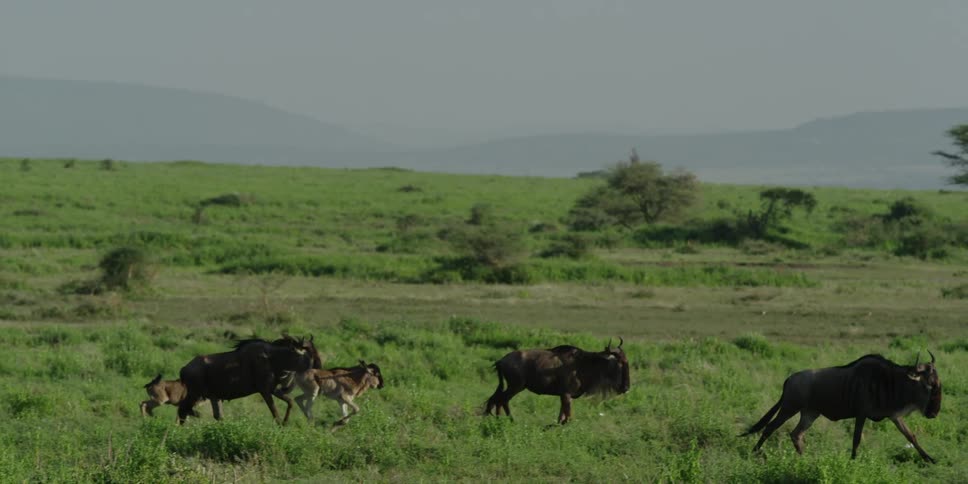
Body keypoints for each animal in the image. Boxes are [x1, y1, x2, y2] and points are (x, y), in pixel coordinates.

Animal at [176, 335, 314, 424]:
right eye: (301, 355)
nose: (312, 366)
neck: (273, 357)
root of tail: (183, 369)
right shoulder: (265, 391)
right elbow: (275, 413)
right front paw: (281, 426)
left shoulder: (272, 389)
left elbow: (290, 402)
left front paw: (285, 423)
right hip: (195, 395)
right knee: (183, 410)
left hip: (212, 397)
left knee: (215, 416)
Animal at [484, 338, 630, 424]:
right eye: (619, 363)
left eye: (627, 362)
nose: (626, 388)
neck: (583, 364)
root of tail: (501, 361)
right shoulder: (566, 394)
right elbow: (568, 417)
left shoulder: (564, 396)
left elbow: (562, 416)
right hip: (516, 386)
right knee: (502, 400)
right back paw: (509, 420)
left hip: (512, 386)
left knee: (498, 399)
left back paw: (500, 419)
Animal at [743, 351, 942, 463]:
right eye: (928, 385)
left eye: (939, 384)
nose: (934, 413)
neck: (890, 381)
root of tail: (789, 379)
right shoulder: (861, 414)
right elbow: (856, 439)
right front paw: (853, 460)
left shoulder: (894, 416)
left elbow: (911, 436)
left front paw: (930, 459)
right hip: (789, 408)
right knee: (770, 428)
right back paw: (754, 453)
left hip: (810, 413)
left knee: (796, 434)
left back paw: (803, 458)